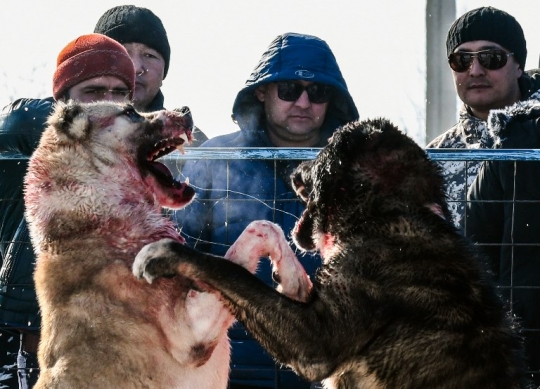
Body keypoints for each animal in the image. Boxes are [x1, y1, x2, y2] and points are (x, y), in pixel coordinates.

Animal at [135, 119, 532, 388]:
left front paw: (167, 254)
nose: (295, 166)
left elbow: (228, 273)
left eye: (321, 155)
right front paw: (289, 273)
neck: (386, 209)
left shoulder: (316, 340)